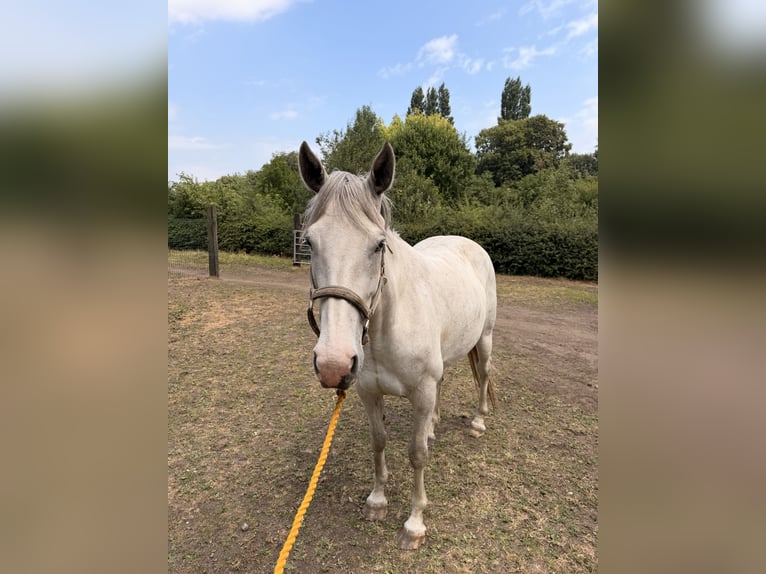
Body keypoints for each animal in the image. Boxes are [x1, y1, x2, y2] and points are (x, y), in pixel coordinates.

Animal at [298, 141, 497, 550]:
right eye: (309, 242)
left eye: (379, 245)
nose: (333, 364)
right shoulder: (369, 392)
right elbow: (379, 441)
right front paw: (376, 502)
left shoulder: (420, 393)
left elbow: (416, 455)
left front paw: (414, 523)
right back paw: (434, 426)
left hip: (484, 339)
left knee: (483, 374)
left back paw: (477, 422)